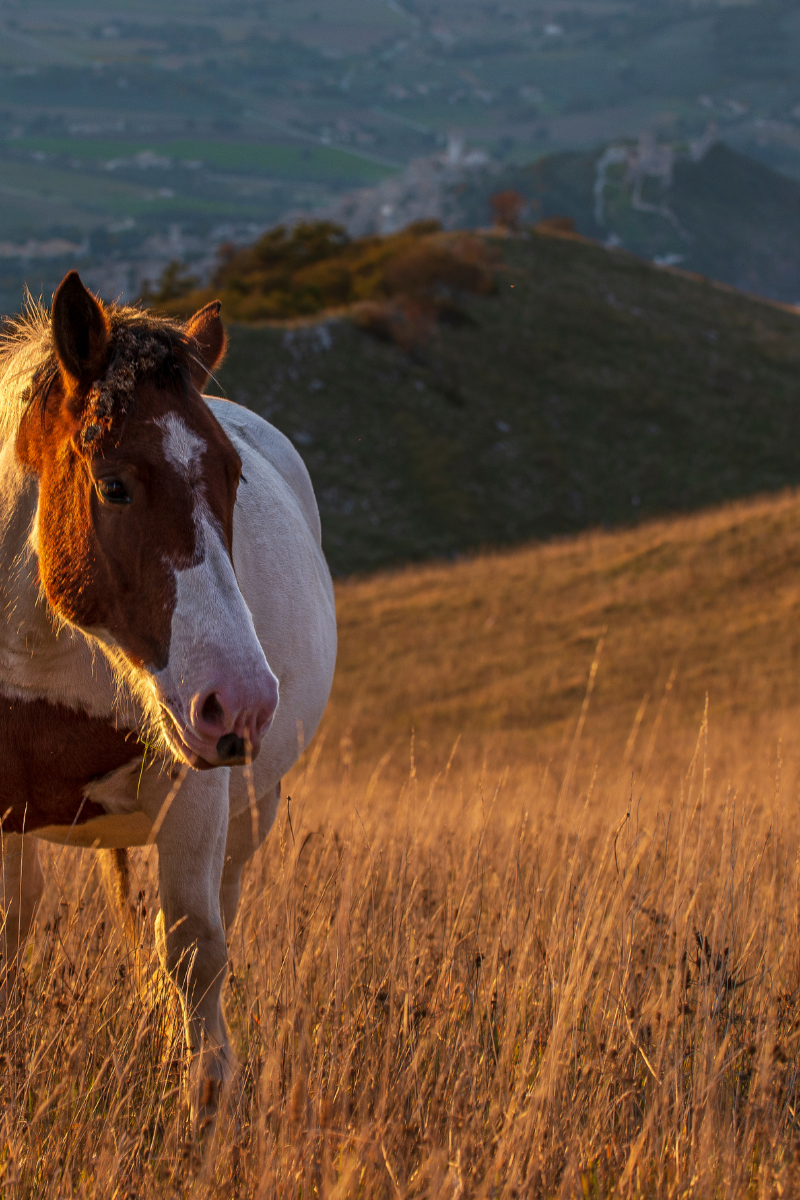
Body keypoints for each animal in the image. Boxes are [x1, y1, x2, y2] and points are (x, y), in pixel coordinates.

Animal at [0, 270, 335, 1123]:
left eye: (233, 478)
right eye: (113, 485)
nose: (240, 701)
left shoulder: (197, 793)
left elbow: (194, 952)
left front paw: (204, 1108)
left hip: (252, 808)